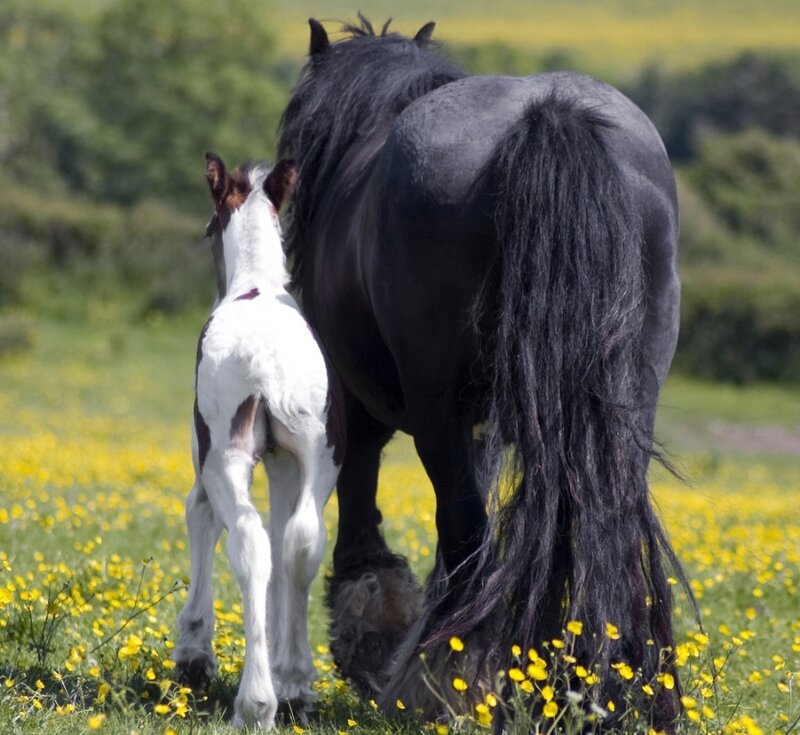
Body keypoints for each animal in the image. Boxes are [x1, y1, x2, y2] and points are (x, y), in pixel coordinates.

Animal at [172, 154, 343, 728]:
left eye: (208, 228)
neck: (257, 286)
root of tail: (265, 359)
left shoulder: (205, 458)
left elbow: (198, 513)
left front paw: (193, 654)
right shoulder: (286, 461)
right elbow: (288, 539)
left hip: (225, 456)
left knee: (247, 539)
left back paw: (255, 704)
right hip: (321, 454)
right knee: (300, 541)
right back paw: (292, 684)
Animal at [278, 16, 686, 729]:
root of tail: (550, 114)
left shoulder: (358, 406)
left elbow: (364, 508)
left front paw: (376, 642)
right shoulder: (483, 424)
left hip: (435, 405)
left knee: (467, 528)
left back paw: (450, 686)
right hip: (626, 401)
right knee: (601, 522)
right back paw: (607, 689)